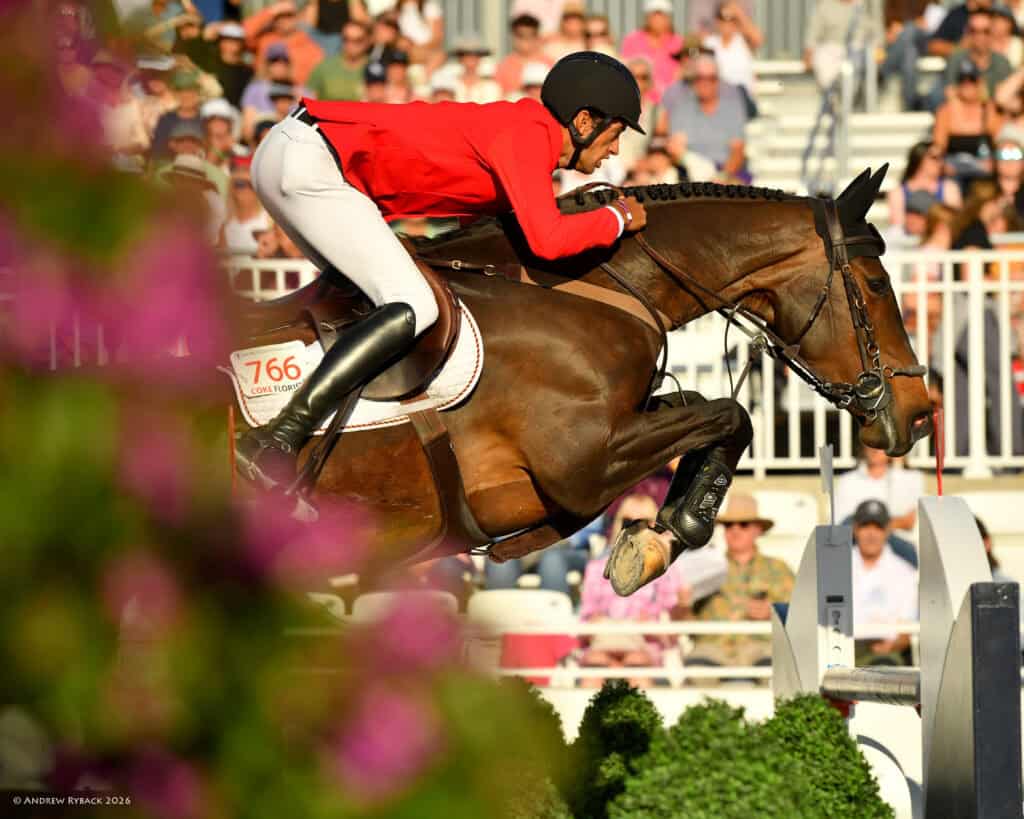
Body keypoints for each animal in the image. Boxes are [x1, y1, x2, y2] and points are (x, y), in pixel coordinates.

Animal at [231, 166, 932, 595]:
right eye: (877, 284)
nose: (921, 412)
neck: (583, 288)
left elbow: (697, 407)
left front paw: (655, 537)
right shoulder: (582, 462)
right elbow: (731, 416)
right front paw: (670, 535)